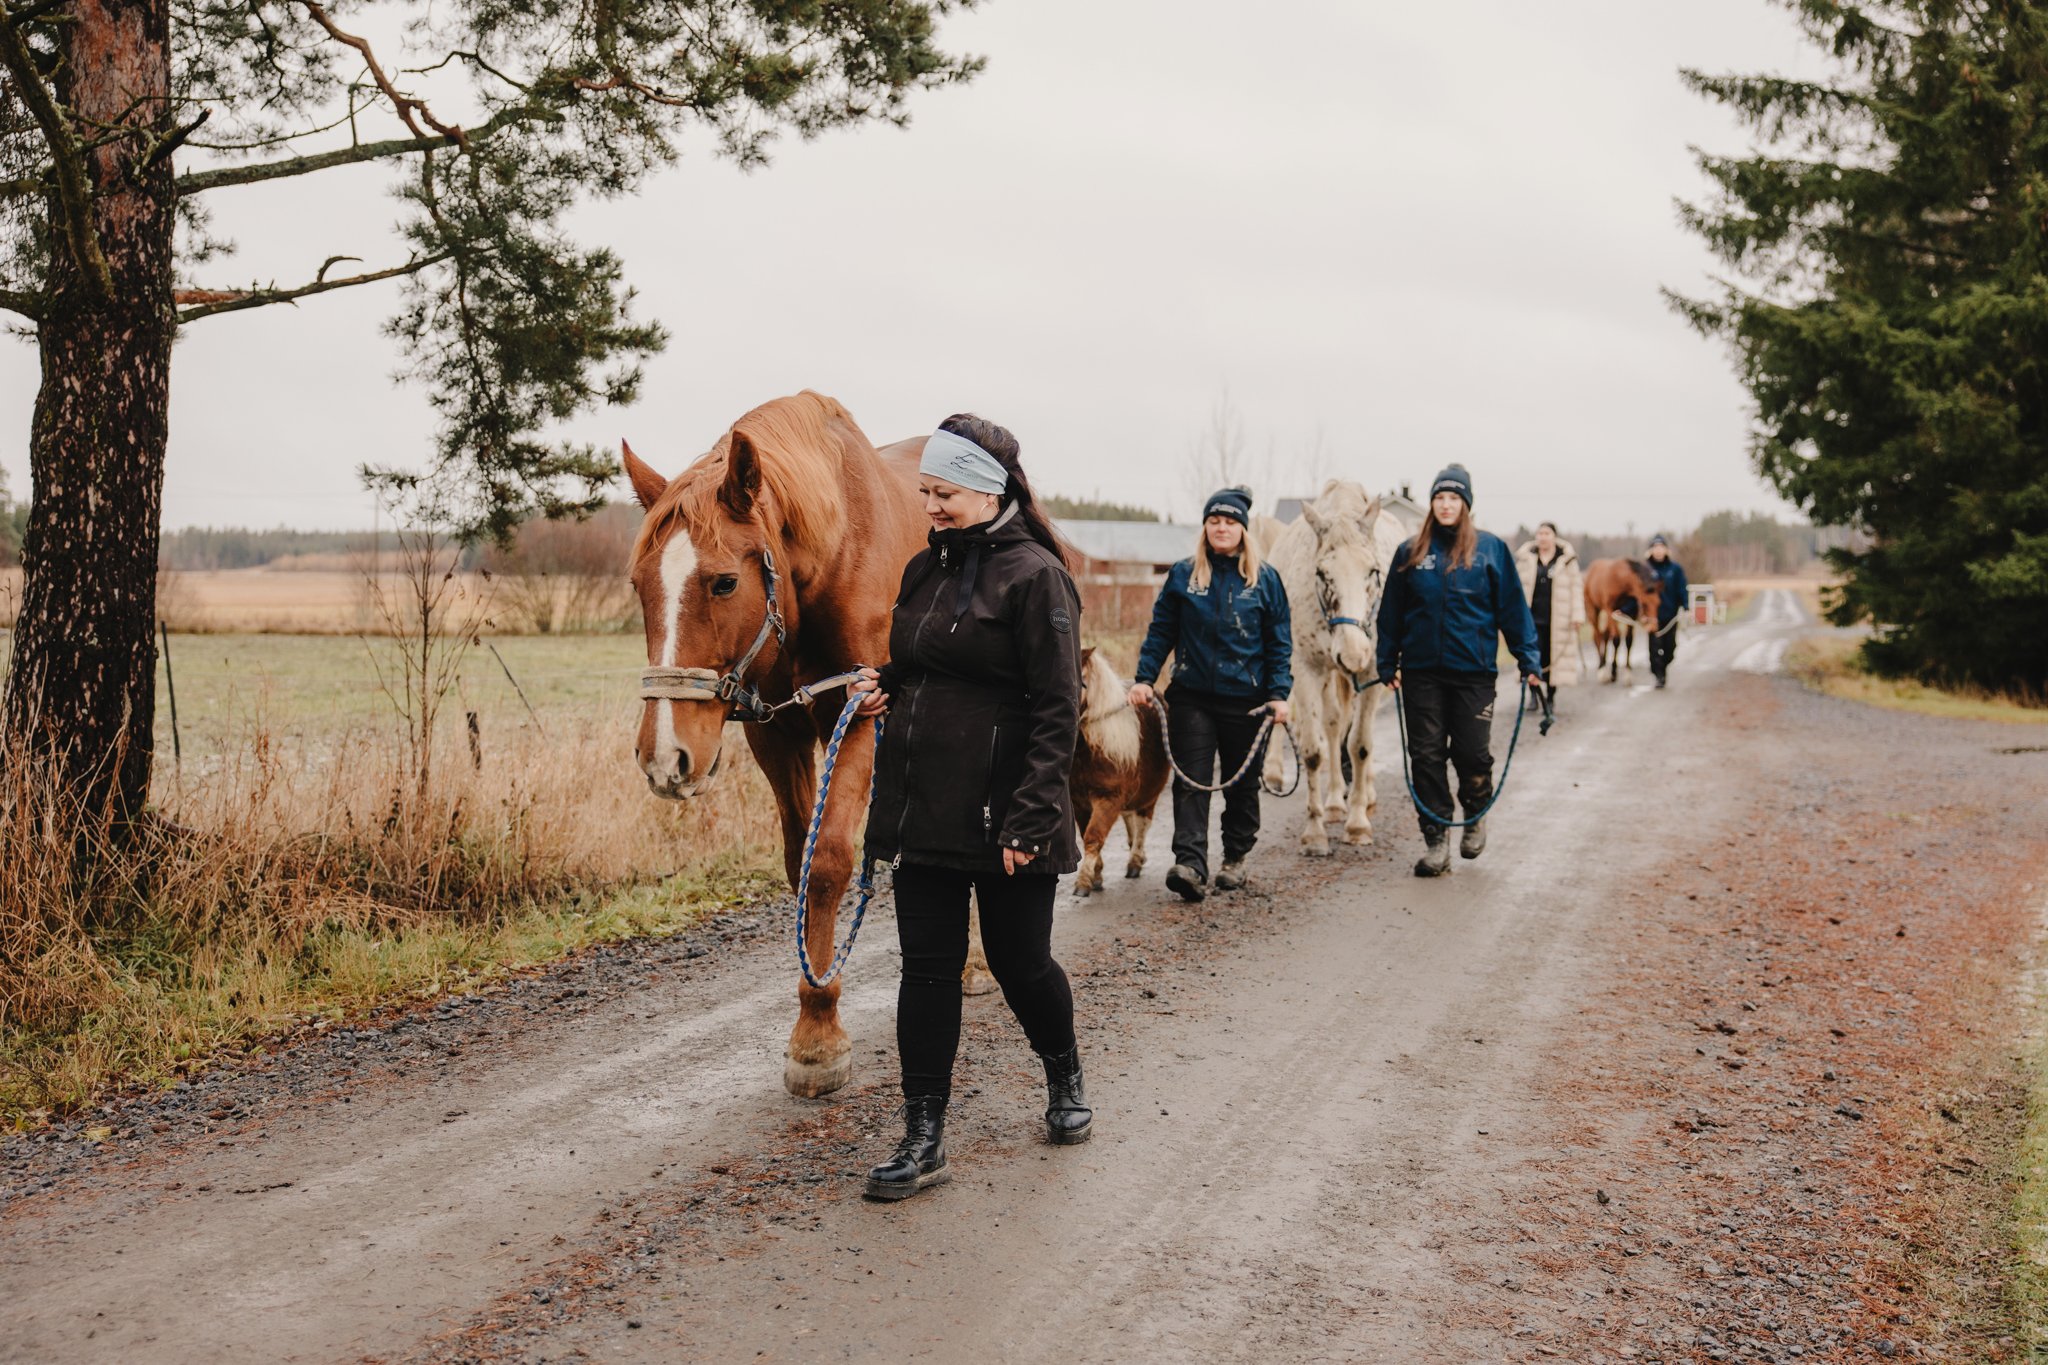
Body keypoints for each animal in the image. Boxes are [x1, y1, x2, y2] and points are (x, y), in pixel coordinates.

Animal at [1064, 650, 1163, 896]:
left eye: (1081, 681)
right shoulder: (1080, 802)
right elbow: (1088, 835)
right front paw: (1097, 876)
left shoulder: (1108, 799)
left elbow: (1093, 837)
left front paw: (1084, 882)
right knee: (1130, 817)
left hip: (1150, 794)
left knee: (1143, 823)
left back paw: (1135, 861)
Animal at [1245, 482, 1409, 855]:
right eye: (1322, 573)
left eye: (1373, 571)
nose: (1353, 652)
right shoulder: (1306, 669)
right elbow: (1313, 751)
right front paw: (1315, 832)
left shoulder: (1371, 673)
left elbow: (1360, 745)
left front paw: (1358, 825)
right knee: (1334, 726)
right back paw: (1334, 803)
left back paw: (1365, 797)